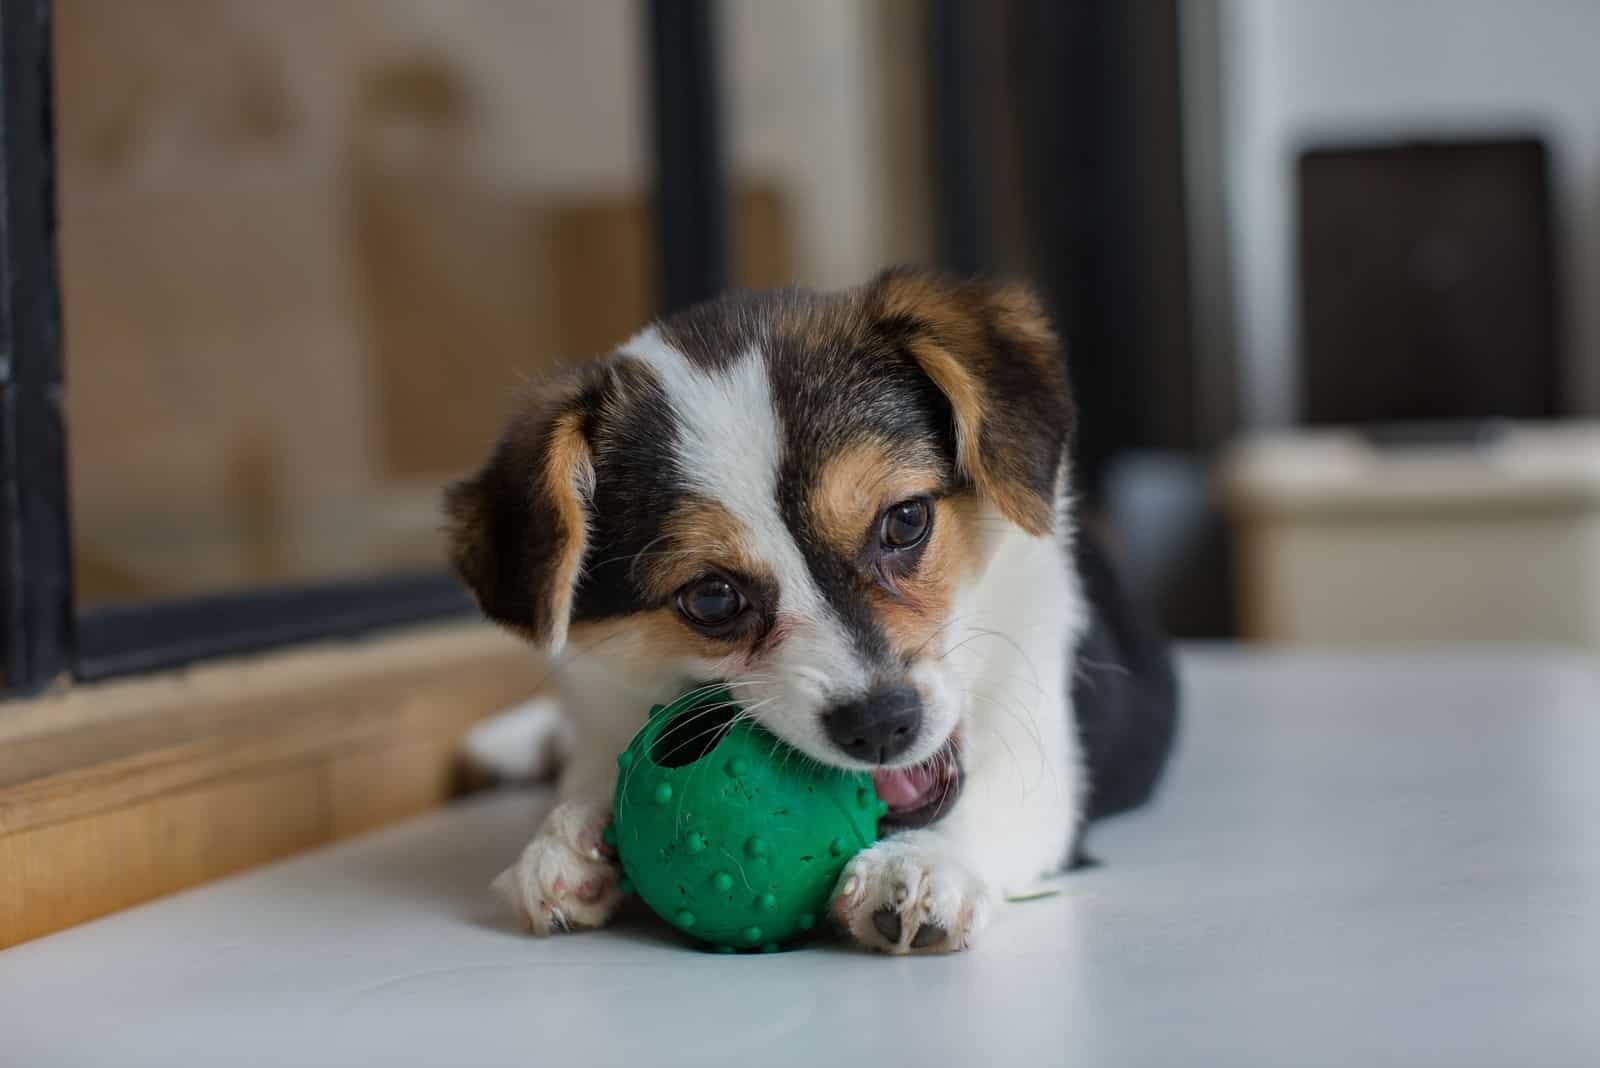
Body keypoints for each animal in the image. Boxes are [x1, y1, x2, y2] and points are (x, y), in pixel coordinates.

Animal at [451, 271, 1177, 952]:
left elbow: (1002, 803)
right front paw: (566, 836)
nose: (881, 726)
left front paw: (923, 865)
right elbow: (596, 763)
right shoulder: (602, 703)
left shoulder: (1047, 749)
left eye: (906, 520)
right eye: (711, 597)